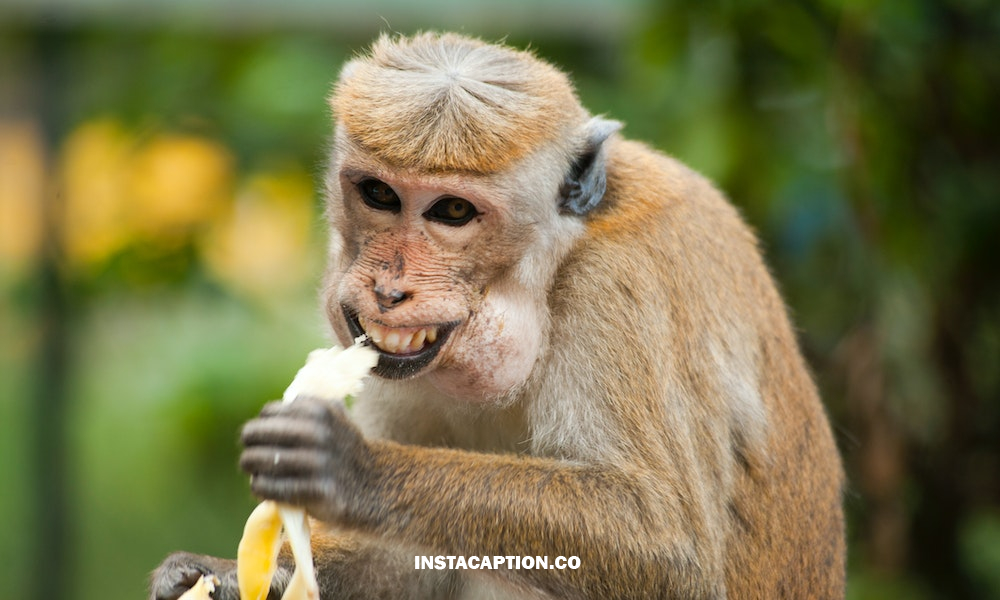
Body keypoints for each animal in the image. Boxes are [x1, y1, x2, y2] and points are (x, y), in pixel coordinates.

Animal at [150, 32, 845, 599]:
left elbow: (669, 549)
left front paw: (353, 470)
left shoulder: (618, 290)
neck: (554, 263)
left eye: (453, 212)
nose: (389, 290)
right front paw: (224, 576)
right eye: (378, 194)